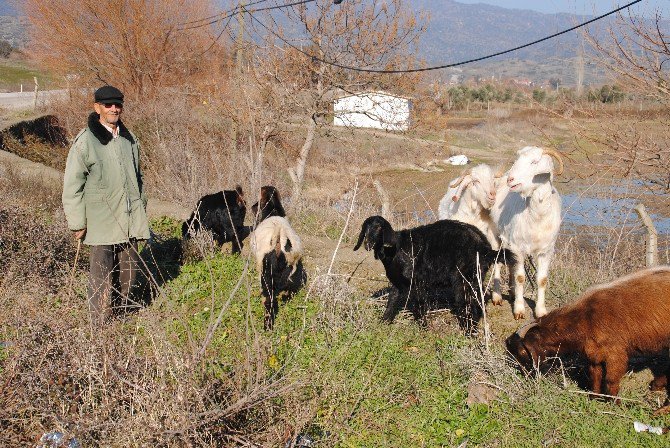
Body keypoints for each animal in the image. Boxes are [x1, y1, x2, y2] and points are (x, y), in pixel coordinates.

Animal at [354, 215, 516, 330]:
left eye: (379, 228)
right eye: (365, 228)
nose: (367, 244)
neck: (396, 249)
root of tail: (485, 249)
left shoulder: (417, 282)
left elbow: (419, 305)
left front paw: (423, 327)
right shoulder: (396, 283)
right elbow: (391, 302)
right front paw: (384, 322)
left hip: (463, 279)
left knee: (469, 304)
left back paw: (468, 331)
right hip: (475, 278)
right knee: (478, 302)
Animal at [490, 146, 564, 318]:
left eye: (534, 162)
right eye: (517, 160)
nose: (510, 179)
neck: (537, 216)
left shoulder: (546, 251)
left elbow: (542, 280)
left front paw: (541, 311)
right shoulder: (518, 248)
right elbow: (520, 277)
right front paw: (519, 309)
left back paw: (511, 293)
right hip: (495, 235)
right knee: (497, 262)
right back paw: (497, 296)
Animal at [510, 266, 670, 402]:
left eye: (522, 352)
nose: (525, 375)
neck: (586, 318)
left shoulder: (615, 354)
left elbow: (611, 379)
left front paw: (614, 402)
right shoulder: (594, 354)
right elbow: (595, 375)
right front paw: (594, 397)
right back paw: (656, 385)